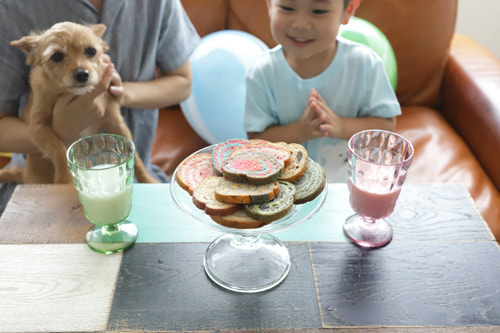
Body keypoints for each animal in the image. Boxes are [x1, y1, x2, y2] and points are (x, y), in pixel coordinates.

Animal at [0, 22, 158, 184]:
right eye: (56, 56)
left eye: (91, 51)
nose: (82, 74)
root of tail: (24, 175)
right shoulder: (37, 128)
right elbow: (59, 150)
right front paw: (64, 179)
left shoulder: (116, 122)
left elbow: (135, 155)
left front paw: (148, 180)